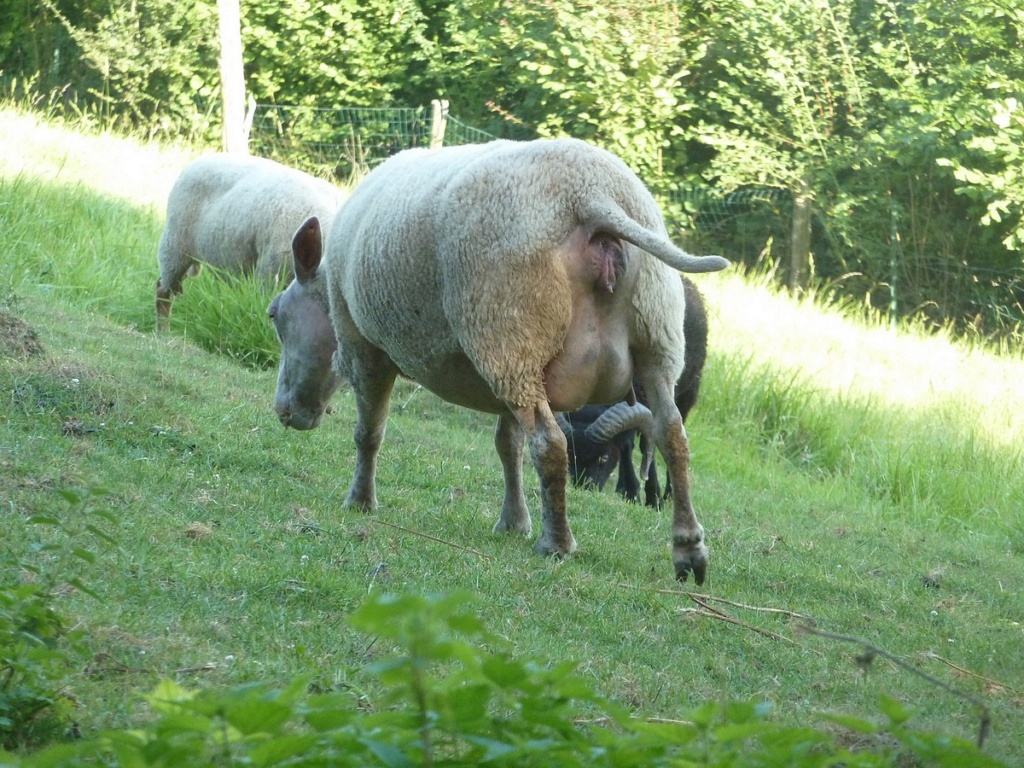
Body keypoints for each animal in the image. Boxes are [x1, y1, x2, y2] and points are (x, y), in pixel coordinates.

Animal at [557, 276, 708, 505]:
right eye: (570, 453)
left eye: (604, 457)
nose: (584, 487)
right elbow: (627, 445)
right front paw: (629, 490)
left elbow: (648, 444)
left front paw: (652, 497)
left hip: (688, 393)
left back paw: (670, 494)